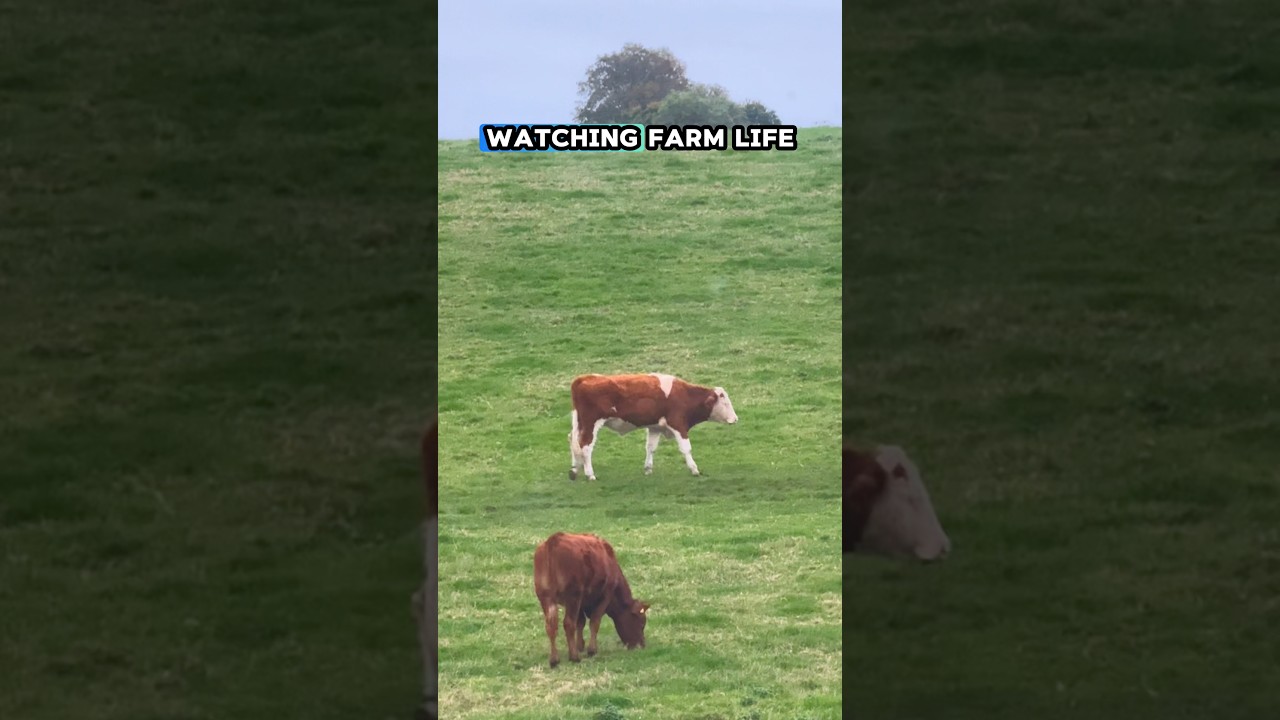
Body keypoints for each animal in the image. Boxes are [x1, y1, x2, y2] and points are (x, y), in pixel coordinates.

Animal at [532, 532, 650, 668]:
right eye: (641, 623)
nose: (641, 645)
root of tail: (553, 540)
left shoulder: (580, 602)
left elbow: (581, 622)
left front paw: (579, 645)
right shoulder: (605, 595)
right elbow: (595, 621)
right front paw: (591, 650)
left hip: (546, 597)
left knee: (551, 625)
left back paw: (554, 659)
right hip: (572, 596)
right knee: (568, 623)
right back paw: (574, 657)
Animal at [568, 373, 738, 482]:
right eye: (725, 403)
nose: (735, 419)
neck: (684, 395)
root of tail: (584, 378)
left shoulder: (655, 427)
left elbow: (651, 448)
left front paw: (648, 469)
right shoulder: (678, 424)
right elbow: (686, 448)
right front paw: (694, 469)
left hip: (579, 422)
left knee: (573, 441)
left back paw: (574, 470)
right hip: (591, 423)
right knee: (585, 446)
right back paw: (590, 474)